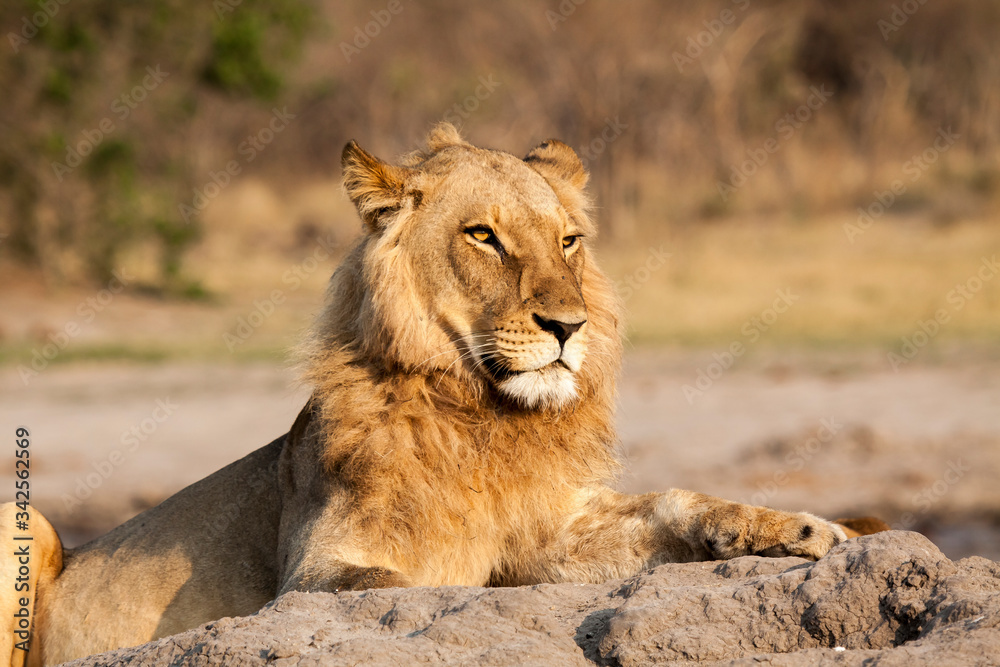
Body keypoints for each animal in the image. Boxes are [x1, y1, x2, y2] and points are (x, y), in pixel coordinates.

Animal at [1, 124, 887, 665]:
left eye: (569, 240)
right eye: (484, 236)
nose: (569, 325)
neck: (478, 413)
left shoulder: (549, 526)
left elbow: (675, 503)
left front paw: (802, 528)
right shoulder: (310, 572)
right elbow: (416, 586)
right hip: (32, 524)